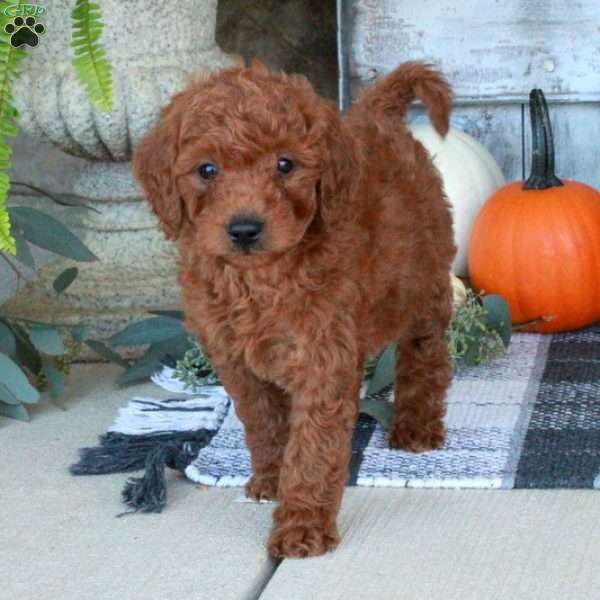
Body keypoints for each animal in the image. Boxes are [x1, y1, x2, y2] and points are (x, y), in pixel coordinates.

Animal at [134, 61, 458, 556]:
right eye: (207, 169)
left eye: (285, 164)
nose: (244, 228)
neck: (258, 279)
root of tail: (375, 114)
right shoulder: (234, 358)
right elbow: (264, 423)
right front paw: (271, 478)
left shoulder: (323, 356)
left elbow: (313, 447)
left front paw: (302, 525)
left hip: (425, 282)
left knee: (425, 355)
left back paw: (417, 427)